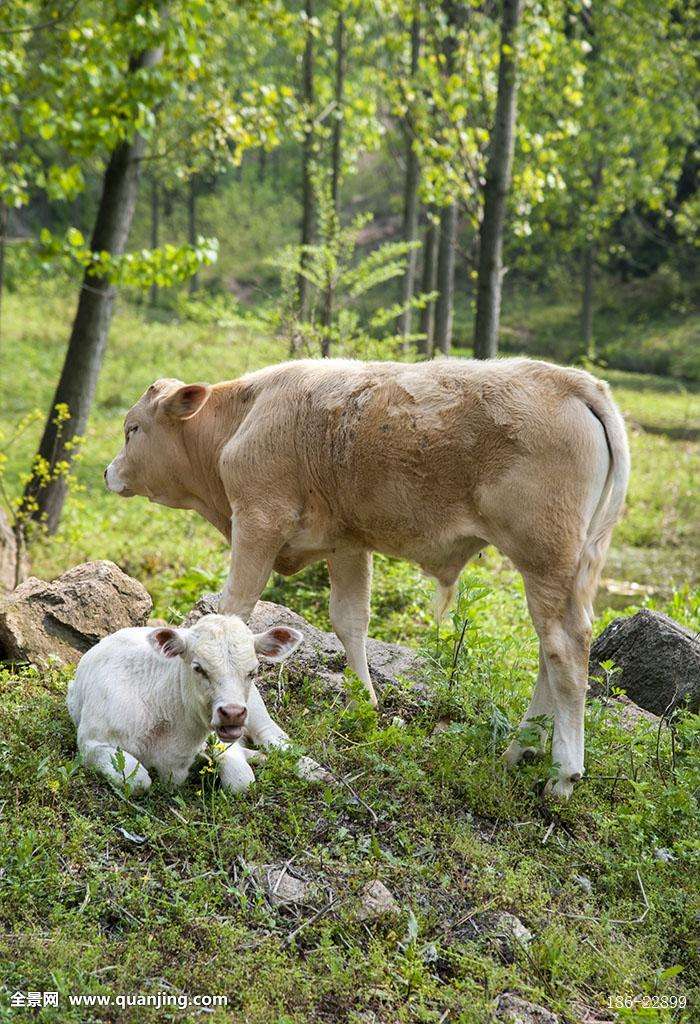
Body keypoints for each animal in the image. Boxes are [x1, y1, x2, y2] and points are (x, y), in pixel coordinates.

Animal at [67, 610, 319, 794]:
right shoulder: (91, 743)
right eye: (198, 668)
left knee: (275, 738)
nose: (233, 713)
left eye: (253, 671)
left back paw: (313, 769)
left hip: (255, 709)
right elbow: (138, 780)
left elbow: (241, 781)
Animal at [106, 360, 630, 798]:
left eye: (133, 429)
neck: (243, 417)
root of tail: (571, 380)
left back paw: (563, 773)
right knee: (548, 649)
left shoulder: (257, 523)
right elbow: (350, 620)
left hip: (544, 559)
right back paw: (519, 749)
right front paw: (364, 705)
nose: (110, 471)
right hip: (564, 569)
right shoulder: (347, 544)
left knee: (564, 648)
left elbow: (235, 612)